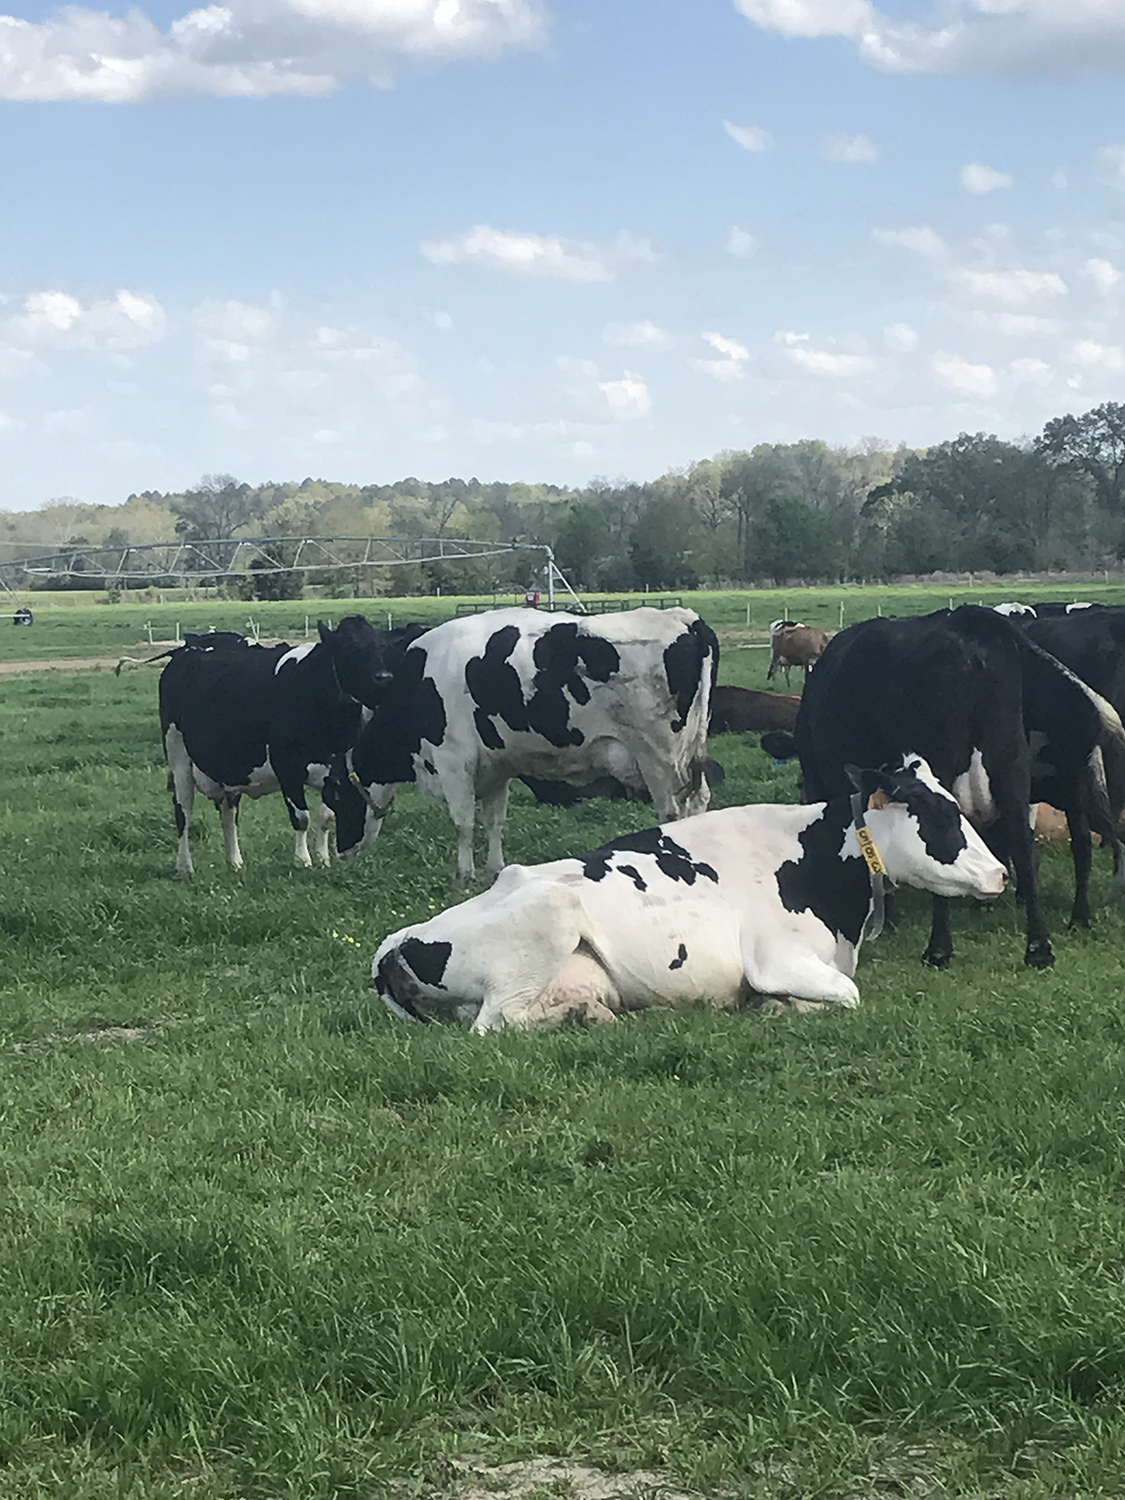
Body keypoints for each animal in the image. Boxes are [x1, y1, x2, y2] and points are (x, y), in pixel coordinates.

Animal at [157, 618, 423, 876]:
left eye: (383, 648)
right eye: (350, 648)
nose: (384, 677)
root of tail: (188, 648)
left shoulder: (334, 770)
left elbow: (326, 816)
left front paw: (323, 859)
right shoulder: (286, 766)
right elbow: (301, 817)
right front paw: (302, 860)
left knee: (228, 815)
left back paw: (235, 862)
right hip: (178, 757)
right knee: (183, 813)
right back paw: (185, 866)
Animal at [334, 603, 723, 876]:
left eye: (336, 796)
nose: (340, 850)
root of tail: (685, 619)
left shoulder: (453, 760)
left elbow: (463, 823)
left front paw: (463, 875)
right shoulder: (495, 766)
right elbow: (494, 821)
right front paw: (494, 870)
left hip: (659, 757)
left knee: (673, 811)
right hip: (689, 755)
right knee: (699, 801)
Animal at [375, 750, 1008, 1032]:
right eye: (942, 813)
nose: (1002, 872)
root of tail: (397, 941)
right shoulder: (778, 959)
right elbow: (845, 995)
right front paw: (776, 1006)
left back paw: (593, 1012)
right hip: (543, 929)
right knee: (496, 1024)